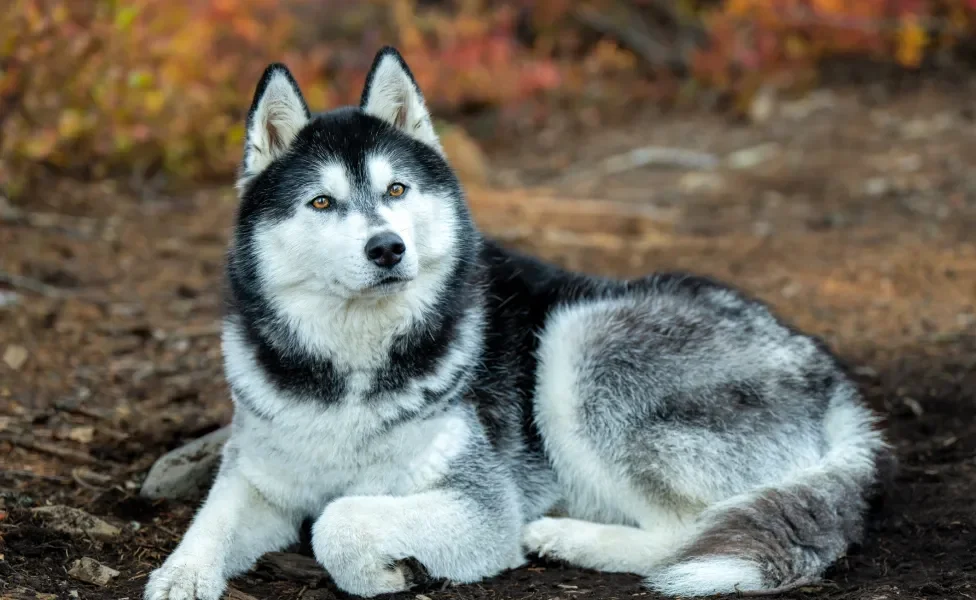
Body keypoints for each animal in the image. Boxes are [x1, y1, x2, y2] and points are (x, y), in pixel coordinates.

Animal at [145, 47, 892, 600]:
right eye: (321, 202)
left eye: (396, 190)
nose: (388, 247)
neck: (352, 368)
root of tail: (830, 378)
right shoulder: (259, 475)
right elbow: (213, 516)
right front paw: (181, 574)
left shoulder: (481, 509)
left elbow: (339, 518)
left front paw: (383, 571)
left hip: (580, 342)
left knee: (685, 532)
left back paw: (567, 537)